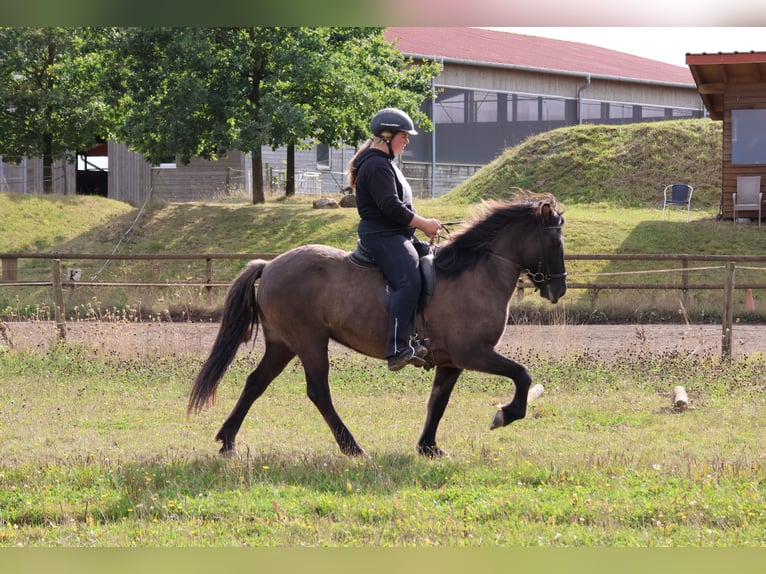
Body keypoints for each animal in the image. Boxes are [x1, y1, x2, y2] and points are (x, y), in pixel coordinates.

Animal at [188, 194, 568, 460]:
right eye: (556, 242)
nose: (559, 289)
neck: (474, 273)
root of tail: (270, 266)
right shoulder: (472, 353)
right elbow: (522, 374)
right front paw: (505, 414)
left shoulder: (450, 361)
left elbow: (438, 402)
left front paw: (429, 447)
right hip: (309, 341)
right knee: (318, 392)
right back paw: (351, 447)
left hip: (282, 344)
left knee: (255, 383)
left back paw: (227, 441)